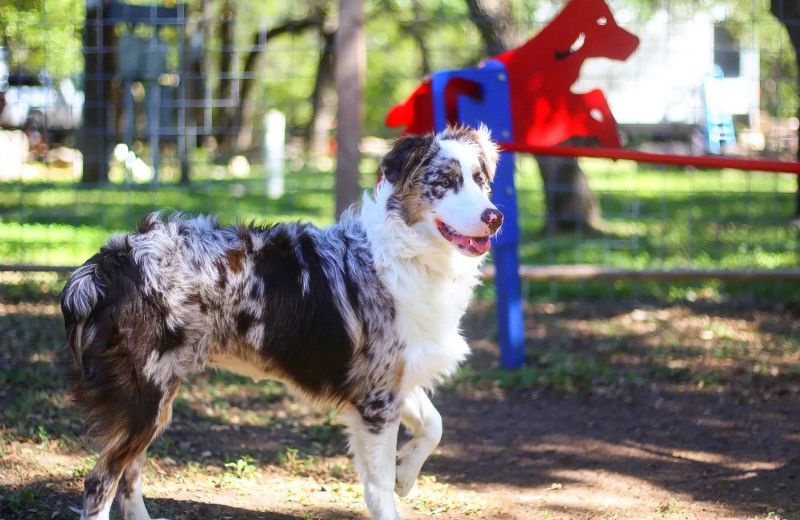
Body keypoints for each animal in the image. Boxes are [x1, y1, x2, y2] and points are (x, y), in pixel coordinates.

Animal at [61, 124, 500, 516]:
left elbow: (433, 425)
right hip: (145, 396)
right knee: (100, 481)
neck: (409, 253)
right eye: (445, 182)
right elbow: (379, 489)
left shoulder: (392, 376)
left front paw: (405, 473)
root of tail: (113, 260)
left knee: (128, 475)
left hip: (153, 400)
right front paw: (397, 480)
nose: (494, 217)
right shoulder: (376, 396)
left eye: (480, 181)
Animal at [384, 0, 640, 149]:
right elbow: (590, 105)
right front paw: (610, 136)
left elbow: (595, 96)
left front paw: (614, 136)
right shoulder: (551, 121)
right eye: (604, 21)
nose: (636, 41)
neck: (556, 58)